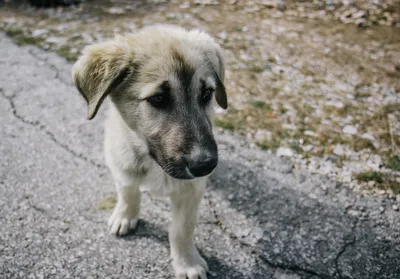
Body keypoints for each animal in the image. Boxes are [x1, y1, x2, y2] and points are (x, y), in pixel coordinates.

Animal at [72, 24, 228, 279]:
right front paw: (125, 216)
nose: (206, 165)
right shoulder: (121, 166)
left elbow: (182, 229)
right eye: (158, 98)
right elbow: (129, 193)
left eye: (207, 94)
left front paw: (186, 262)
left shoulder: (191, 191)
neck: (154, 162)